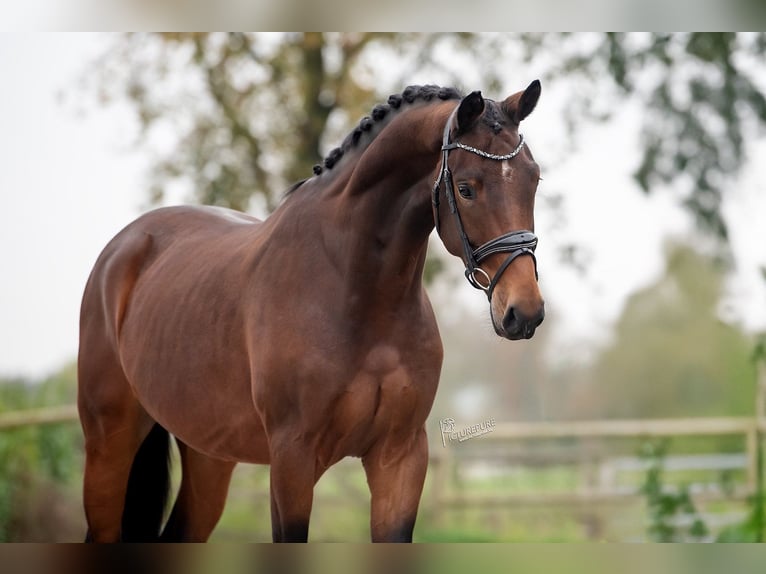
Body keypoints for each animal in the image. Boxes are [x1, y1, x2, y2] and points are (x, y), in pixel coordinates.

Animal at [76, 82, 544, 544]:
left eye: (534, 179)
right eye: (466, 188)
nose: (524, 312)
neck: (357, 295)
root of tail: (123, 249)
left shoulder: (401, 456)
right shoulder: (292, 459)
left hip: (209, 455)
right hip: (109, 444)